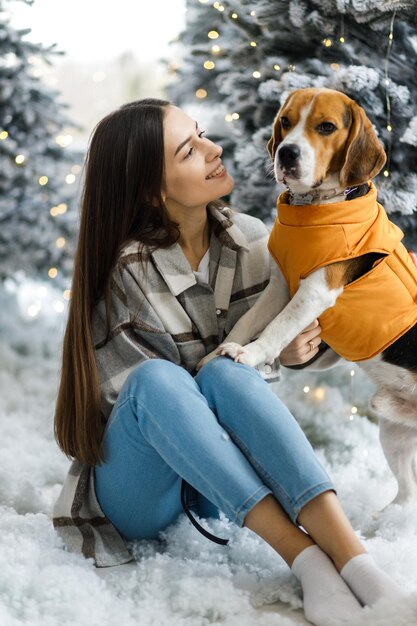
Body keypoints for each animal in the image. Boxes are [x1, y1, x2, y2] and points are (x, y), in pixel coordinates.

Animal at [200, 88, 416, 504]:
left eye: (326, 127)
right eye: (285, 121)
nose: (287, 153)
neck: (314, 209)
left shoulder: (314, 292)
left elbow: (276, 329)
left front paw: (249, 355)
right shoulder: (281, 285)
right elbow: (248, 320)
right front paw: (218, 352)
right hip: (393, 434)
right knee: (407, 495)